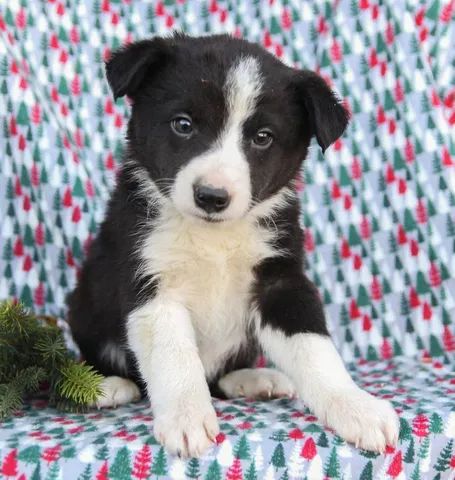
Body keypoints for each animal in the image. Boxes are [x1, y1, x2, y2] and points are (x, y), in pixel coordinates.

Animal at [67, 32, 400, 458]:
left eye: (262, 138)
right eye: (183, 124)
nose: (212, 196)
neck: (214, 236)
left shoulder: (280, 279)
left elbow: (315, 348)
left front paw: (356, 407)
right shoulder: (150, 280)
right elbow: (174, 355)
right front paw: (187, 417)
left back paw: (252, 379)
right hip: (84, 306)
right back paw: (105, 384)